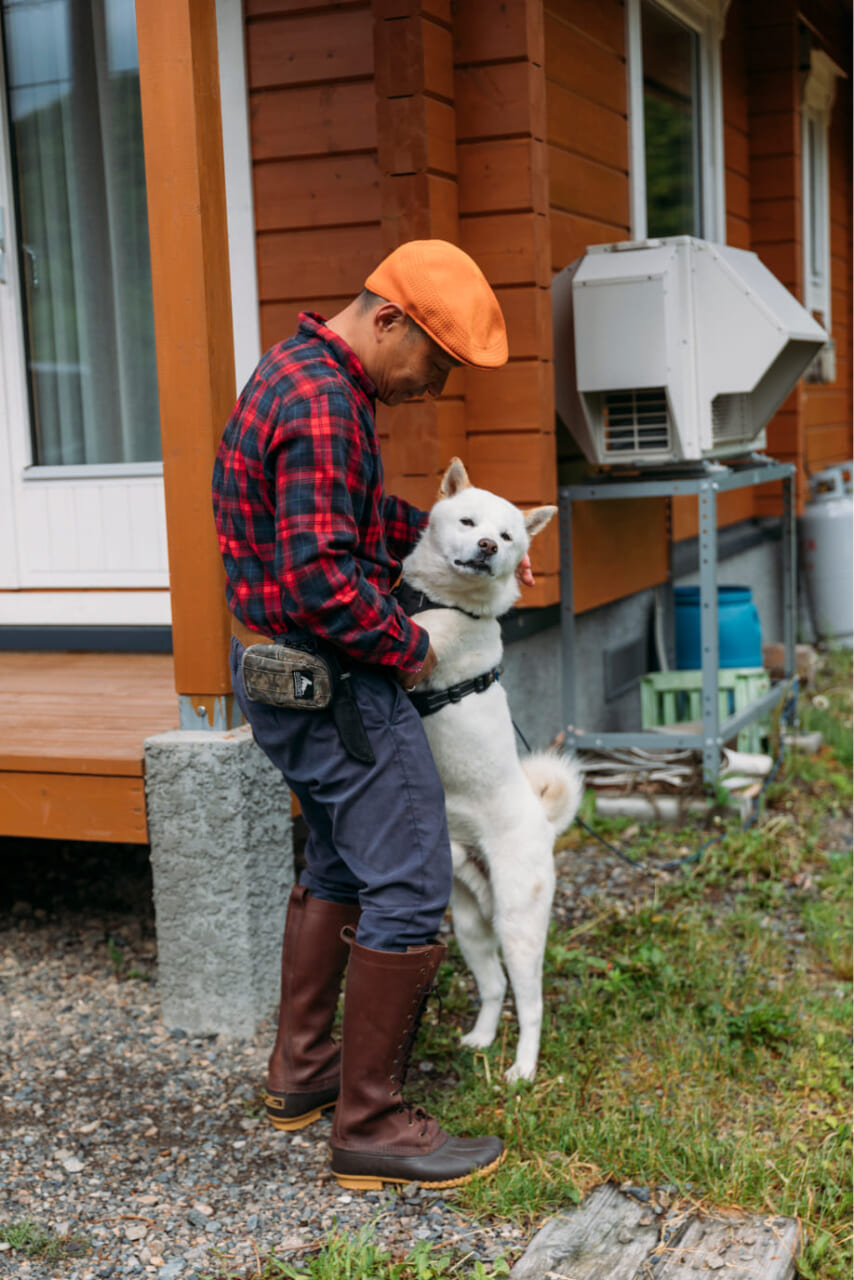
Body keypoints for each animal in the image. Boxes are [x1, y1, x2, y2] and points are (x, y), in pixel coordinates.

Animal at [404, 460, 583, 1080]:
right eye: (468, 522)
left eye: (507, 537)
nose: (487, 547)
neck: (444, 600)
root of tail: (544, 825)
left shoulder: (422, 649)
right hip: (471, 927)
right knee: (494, 988)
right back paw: (481, 1038)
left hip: (518, 926)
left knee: (531, 1004)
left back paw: (523, 1070)